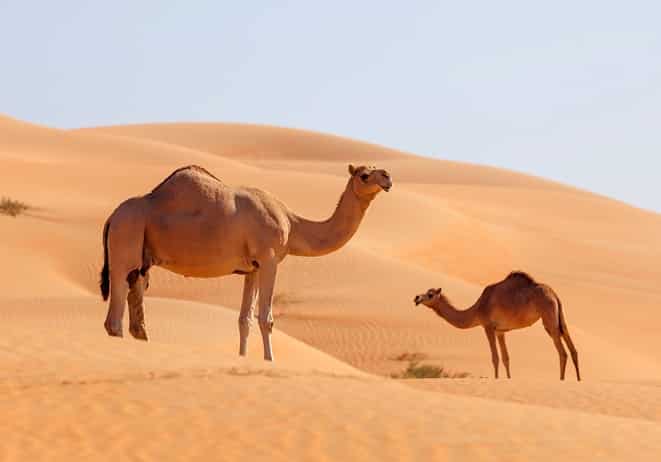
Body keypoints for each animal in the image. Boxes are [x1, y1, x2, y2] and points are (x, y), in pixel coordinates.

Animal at [100, 164, 392, 361]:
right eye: (365, 175)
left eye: (374, 169)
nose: (387, 177)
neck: (292, 225)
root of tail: (112, 217)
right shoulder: (269, 258)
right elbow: (266, 318)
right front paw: (270, 361)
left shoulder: (252, 268)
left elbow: (244, 319)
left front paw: (243, 359)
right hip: (126, 239)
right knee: (114, 317)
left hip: (142, 260)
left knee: (135, 314)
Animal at [413, 272, 580, 380]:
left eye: (430, 294)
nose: (417, 298)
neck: (477, 309)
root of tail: (554, 294)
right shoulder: (501, 331)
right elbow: (506, 358)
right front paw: (508, 379)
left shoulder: (488, 326)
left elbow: (495, 357)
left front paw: (496, 379)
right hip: (559, 317)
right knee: (572, 349)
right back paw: (578, 379)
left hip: (548, 317)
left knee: (562, 352)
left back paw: (562, 380)